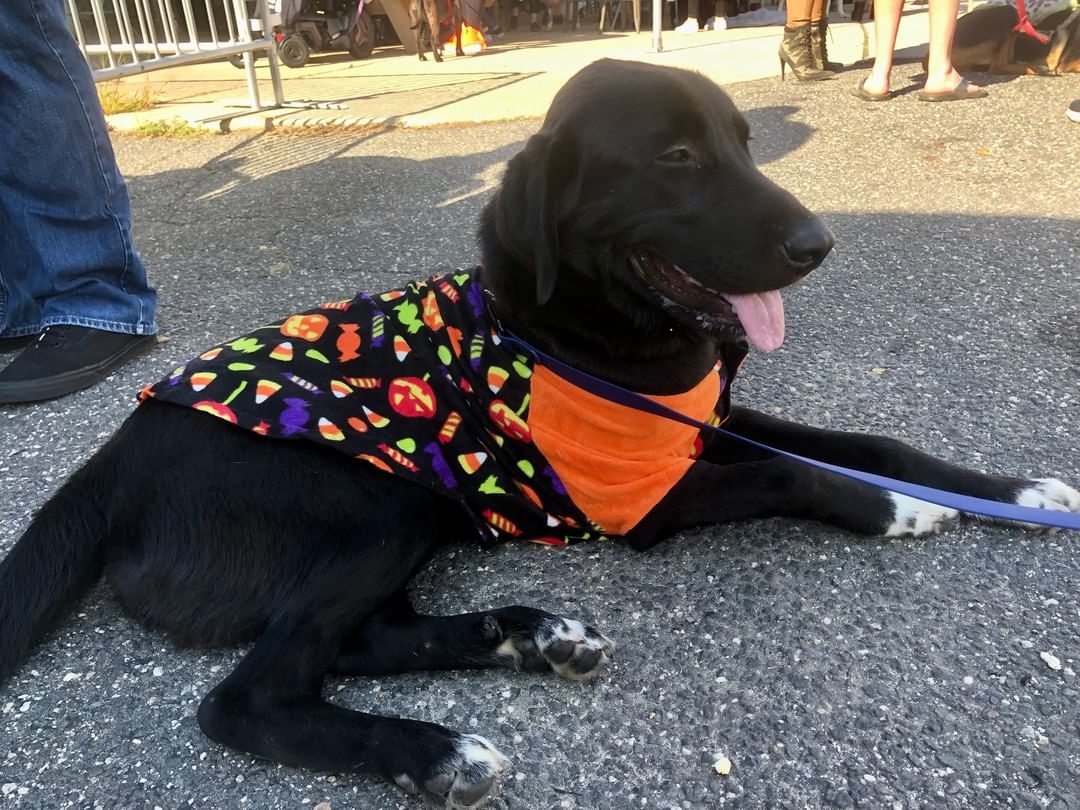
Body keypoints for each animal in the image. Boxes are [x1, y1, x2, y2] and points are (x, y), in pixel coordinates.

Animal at [2, 60, 1080, 807]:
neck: (584, 328)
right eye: (676, 158)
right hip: (379, 494)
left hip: (411, 510)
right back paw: (436, 749)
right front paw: (899, 511)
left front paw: (1014, 490)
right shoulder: (651, 498)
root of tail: (107, 458)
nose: (820, 245)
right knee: (251, 694)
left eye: (744, 141)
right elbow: (806, 479)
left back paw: (530, 638)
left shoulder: (710, 428)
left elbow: (872, 444)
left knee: (358, 641)